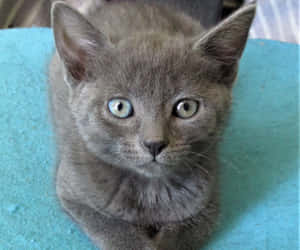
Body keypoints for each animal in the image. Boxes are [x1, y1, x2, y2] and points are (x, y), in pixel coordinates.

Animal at [48, 0, 255, 249]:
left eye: (186, 108)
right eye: (119, 107)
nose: (154, 143)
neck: (151, 189)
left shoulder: (209, 204)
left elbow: (181, 237)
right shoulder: (72, 192)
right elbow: (114, 230)